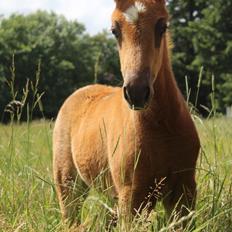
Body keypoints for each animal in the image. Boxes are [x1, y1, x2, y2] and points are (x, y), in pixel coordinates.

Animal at [52, 0, 199, 228]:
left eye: (162, 26)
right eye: (115, 30)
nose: (136, 92)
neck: (161, 130)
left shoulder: (184, 190)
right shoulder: (132, 195)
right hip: (67, 182)